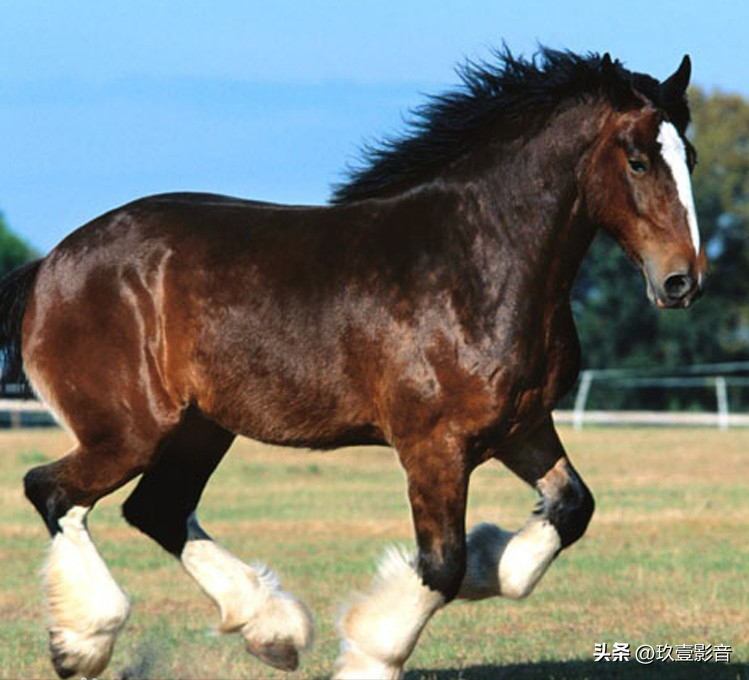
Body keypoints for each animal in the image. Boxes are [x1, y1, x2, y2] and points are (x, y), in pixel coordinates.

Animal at [0, 49, 704, 680]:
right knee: (53, 491)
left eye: (690, 158)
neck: (478, 265)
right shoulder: (433, 446)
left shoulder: (522, 428)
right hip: (130, 431)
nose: (681, 281)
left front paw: (491, 561)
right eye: (638, 160)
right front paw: (372, 654)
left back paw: (273, 631)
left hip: (200, 428)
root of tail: (49, 267)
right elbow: (440, 566)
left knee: (156, 509)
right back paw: (82, 645)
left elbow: (569, 508)